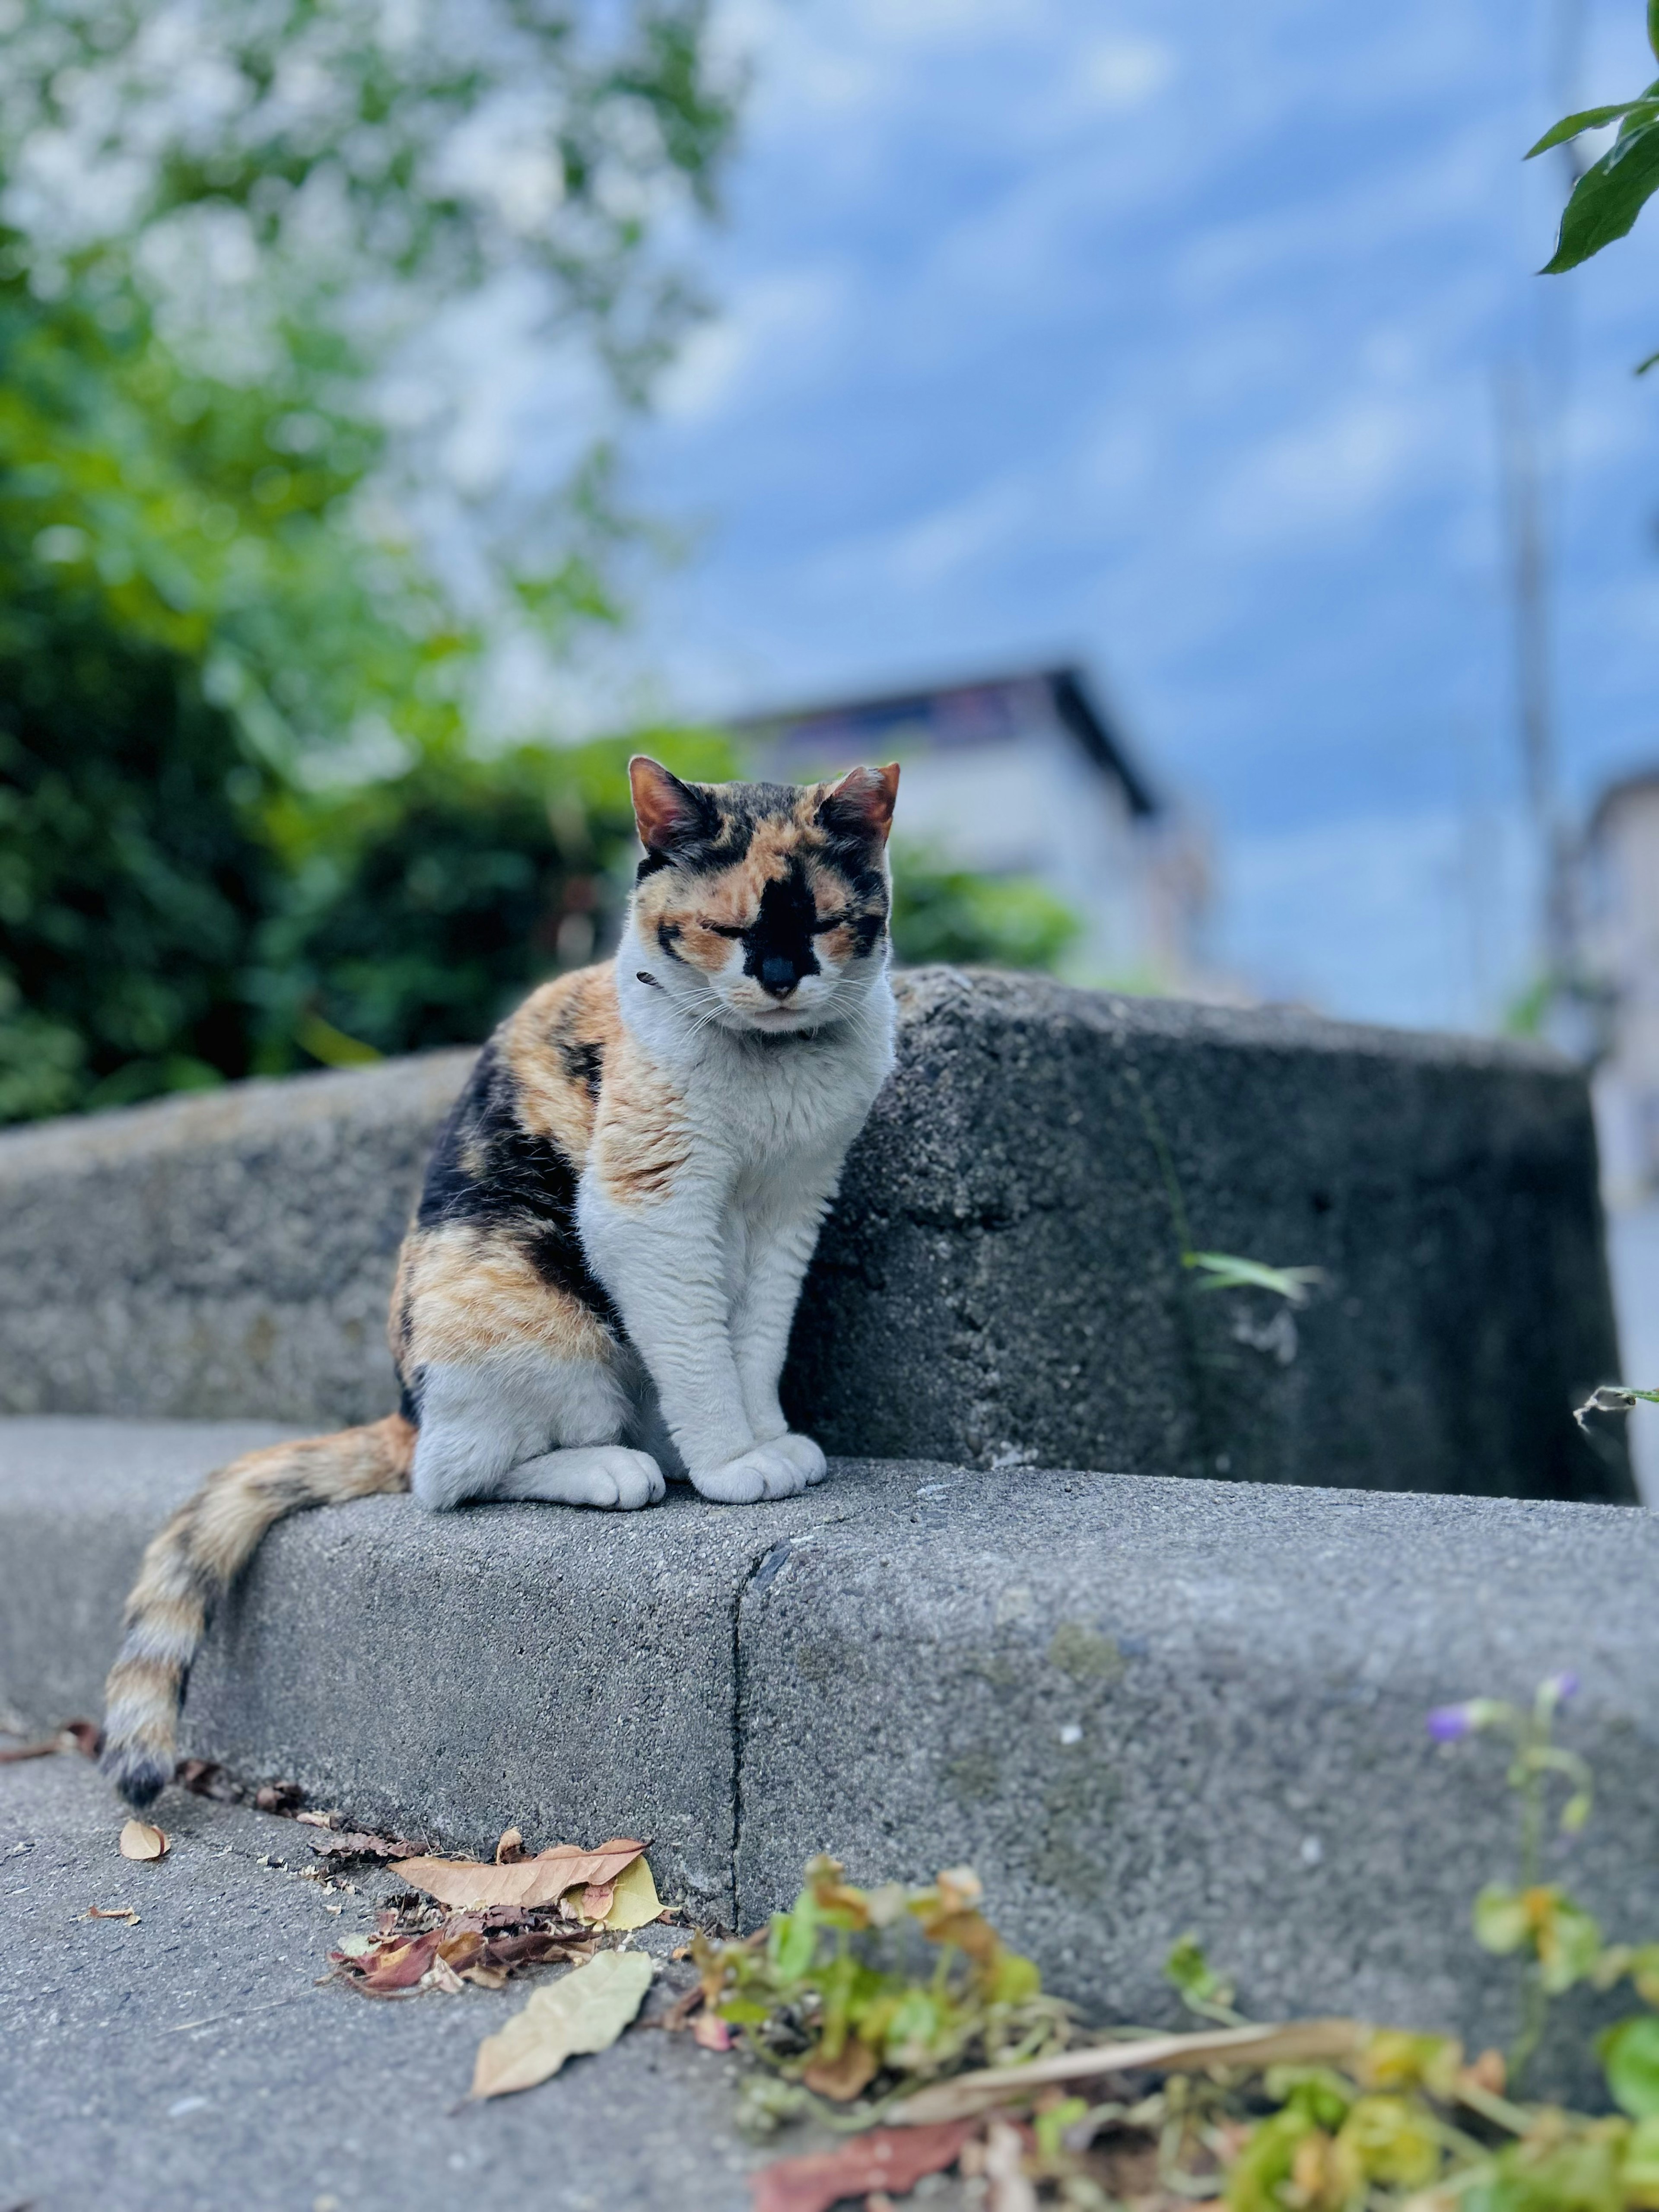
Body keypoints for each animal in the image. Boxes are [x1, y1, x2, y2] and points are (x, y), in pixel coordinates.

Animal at [97, 752, 902, 1805]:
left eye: (825, 922)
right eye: (725, 929)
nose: (777, 978)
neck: (774, 1075)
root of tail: (406, 1409)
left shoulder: (791, 1209)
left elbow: (754, 1346)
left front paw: (765, 1438)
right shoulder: (648, 1211)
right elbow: (699, 1351)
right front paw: (735, 1463)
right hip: (541, 1317)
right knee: (453, 1477)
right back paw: (616, 1469)